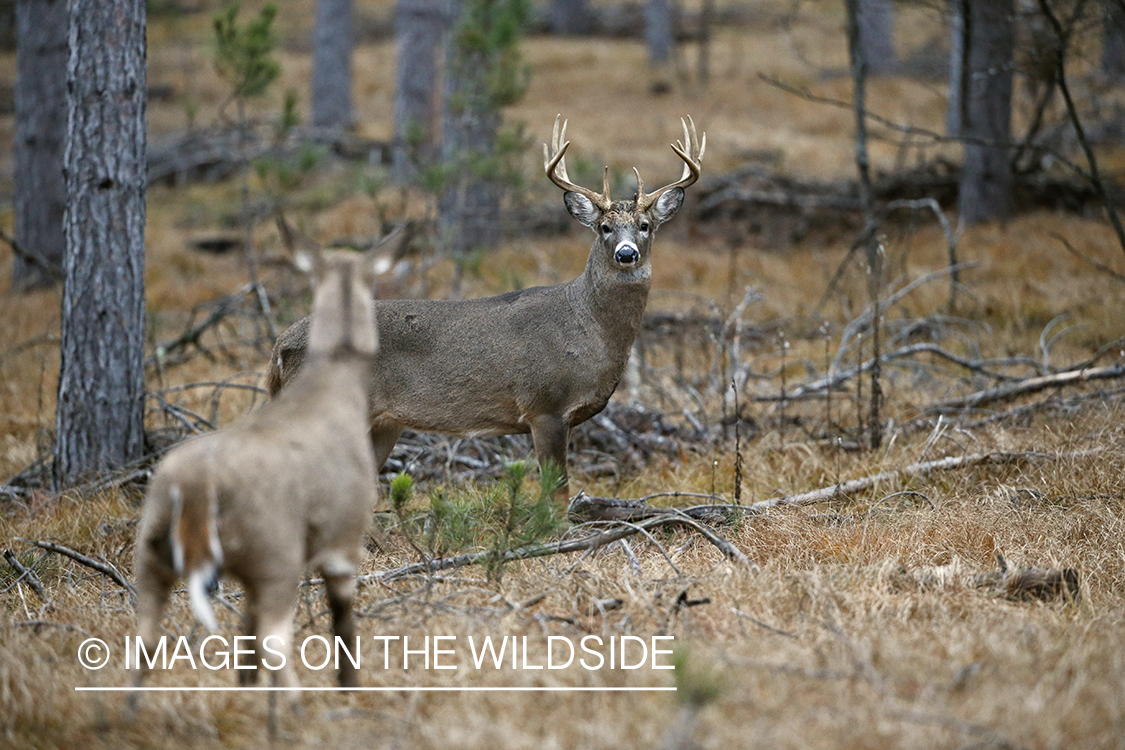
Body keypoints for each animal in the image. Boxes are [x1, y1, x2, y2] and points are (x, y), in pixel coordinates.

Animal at [133, 237, 402, 701]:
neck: (334, 387)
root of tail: (197, 485)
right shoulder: (341, 540)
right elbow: (342, 621)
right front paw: (349, 689)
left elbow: (246, 626)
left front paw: (245, 686)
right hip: (276, 554)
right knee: (275, 639)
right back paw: (294, 705)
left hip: (155, 553)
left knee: (145, 641)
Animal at [265, 115, 702, 503]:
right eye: (604, 228)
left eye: (645, 226)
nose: (626, 254)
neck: (587, 330)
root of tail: (280, 343)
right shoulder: (544, 405)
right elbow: (556, 496)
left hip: (383, 422)